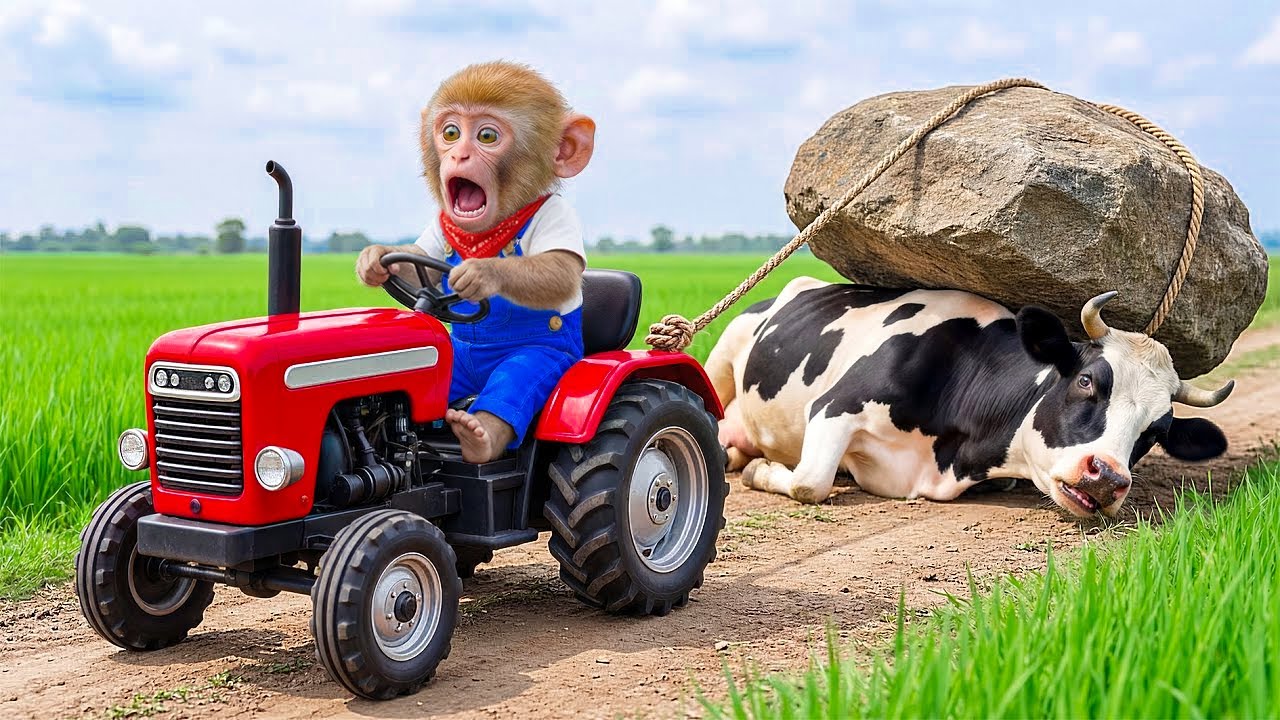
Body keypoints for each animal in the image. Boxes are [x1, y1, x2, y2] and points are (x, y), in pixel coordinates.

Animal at [356, 61, 595, 463]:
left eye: (486, 136)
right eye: (451, 133)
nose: (459, 156)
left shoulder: (557, 217)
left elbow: (559, 270)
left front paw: (481, 272)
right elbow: (422, 259)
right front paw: (373, 258)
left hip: (557, 371)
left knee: (516, 380)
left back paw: (478, 435)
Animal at [706, 277, 1233, 516]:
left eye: (1156, 432)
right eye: (1087, 381)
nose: (1106, 478)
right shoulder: (835, 406)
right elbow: (809, 482)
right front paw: (761, 472)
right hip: (722, 353)